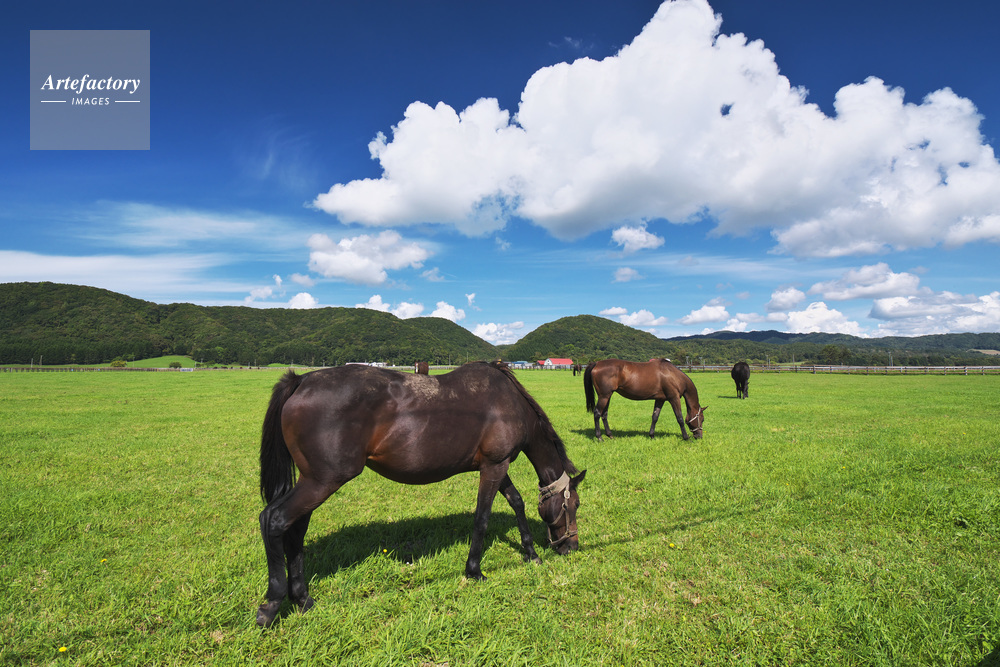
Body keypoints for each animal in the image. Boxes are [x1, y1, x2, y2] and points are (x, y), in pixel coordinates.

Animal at [256, 361, 586, 627]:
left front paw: (530, 553)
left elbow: (516, 502)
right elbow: (482, 518)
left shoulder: (495, 466)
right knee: (273, 520)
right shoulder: (494, 466)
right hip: (323, 481)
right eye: (574, 506)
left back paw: (302, 599)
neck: (509, 402)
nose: (571, 547)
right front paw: (474, 570)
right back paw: (272, 605)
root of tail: (301, 380)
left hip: (313, 482)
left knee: (294, 531)